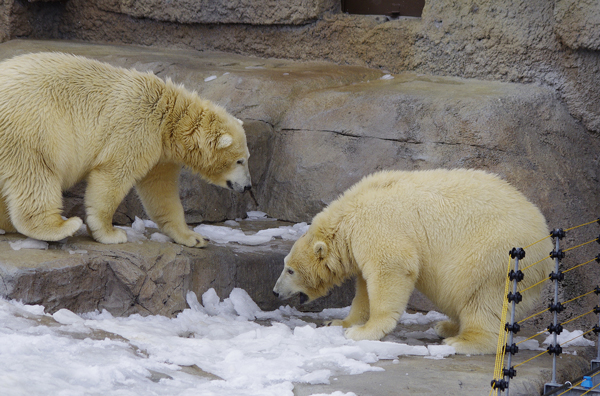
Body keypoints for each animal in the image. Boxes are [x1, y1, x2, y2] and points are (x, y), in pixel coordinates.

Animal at [0, 51, 251, 246]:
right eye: (240, 160)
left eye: (246, 158)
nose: (248, 186)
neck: (169, 115)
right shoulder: (137, 126)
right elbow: (113, 174)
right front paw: (110, 233)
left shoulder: (161, 153)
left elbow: (161, 191)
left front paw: (194, 237)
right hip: (32, 125)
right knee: (35, 172)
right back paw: (60, 226)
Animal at [274, 169, 556, 354]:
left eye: (290, 270)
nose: (275, 291)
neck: (347, 217)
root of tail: (546, 244)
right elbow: (364, 288)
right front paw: (340, 322)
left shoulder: (377, 226)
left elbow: (390, 269)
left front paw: (363, 332)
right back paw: (447, 326)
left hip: (494, 255)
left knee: (483, 297)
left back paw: (462, 341)